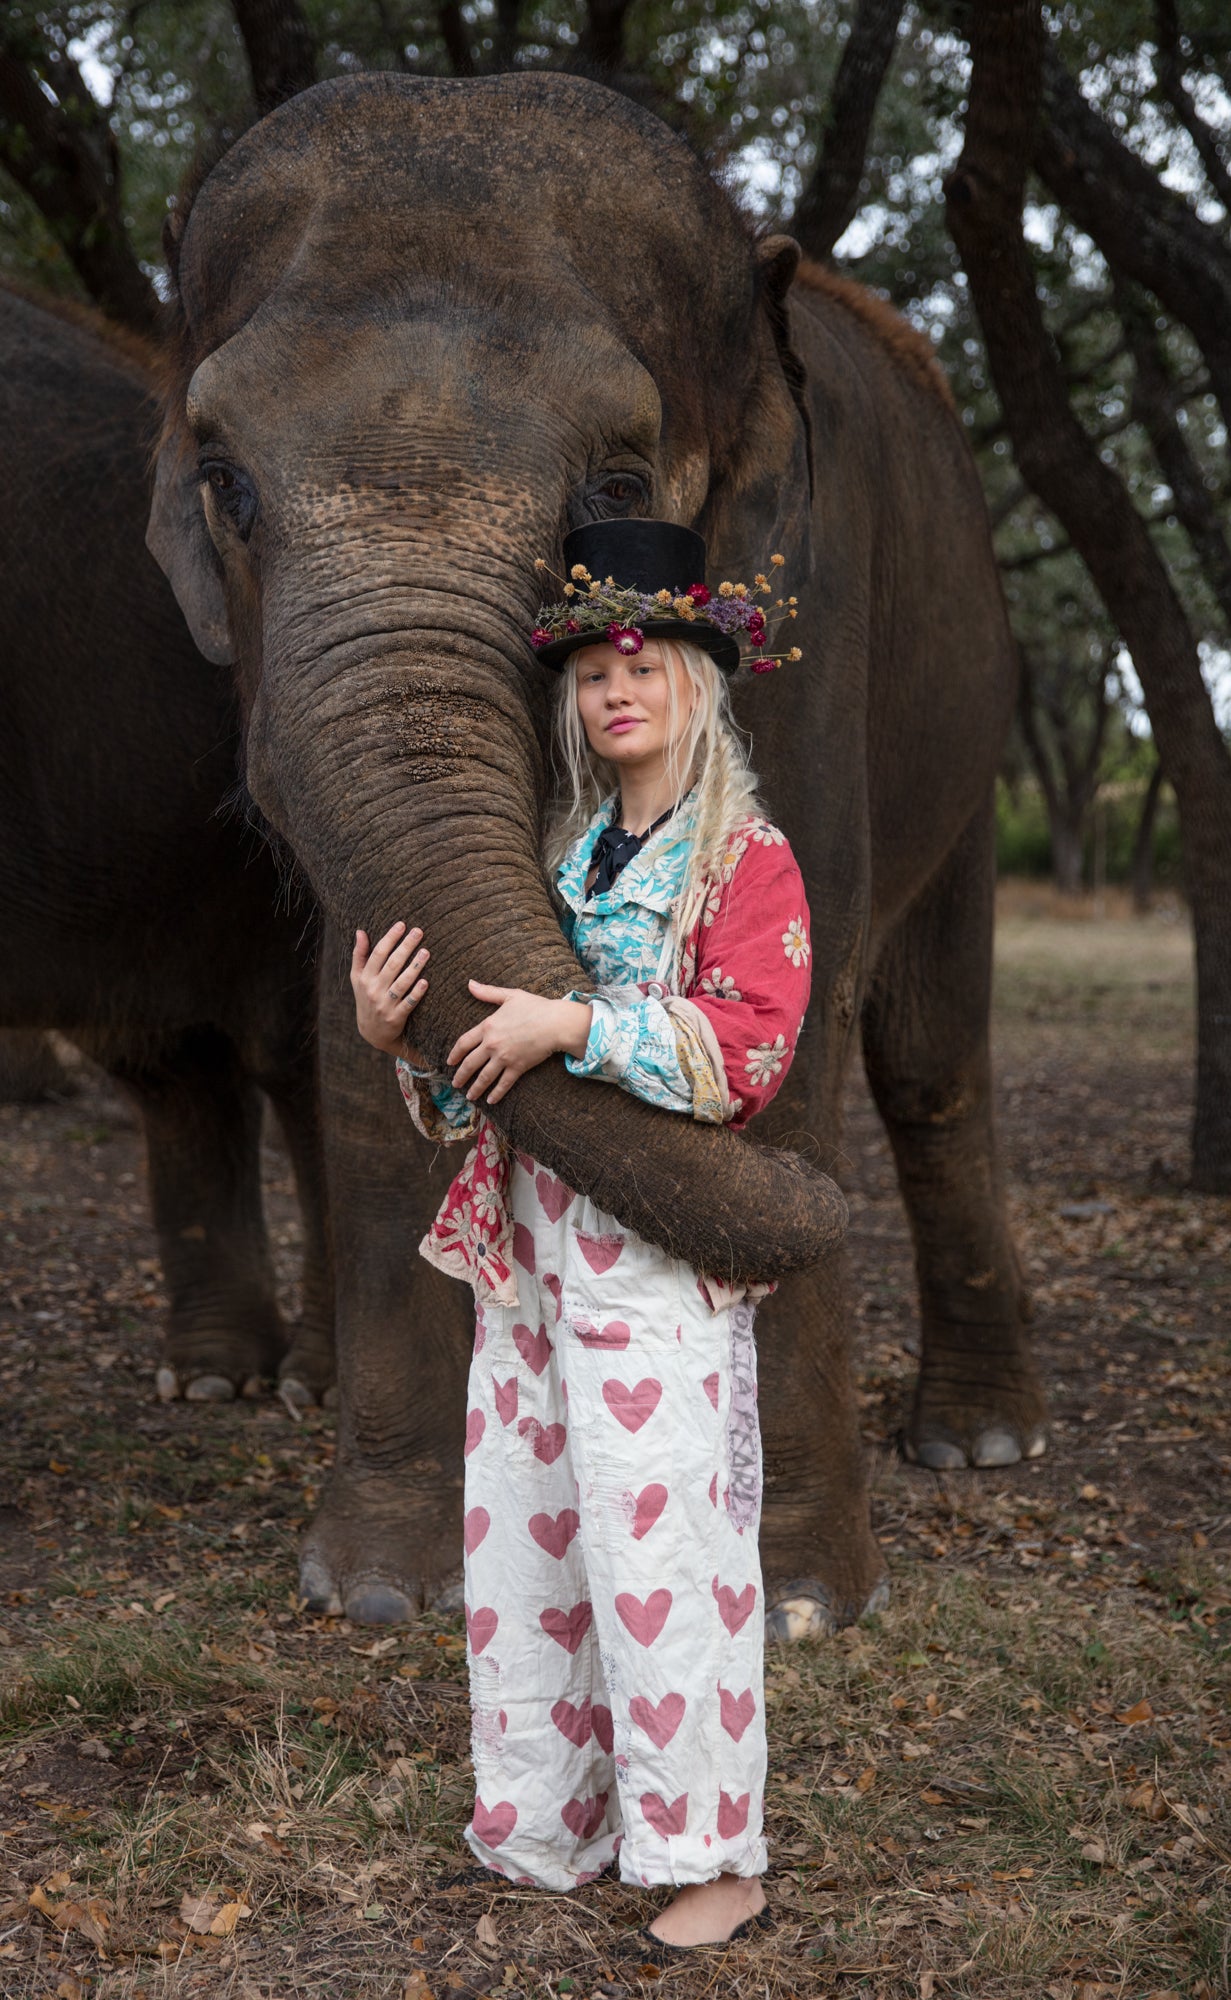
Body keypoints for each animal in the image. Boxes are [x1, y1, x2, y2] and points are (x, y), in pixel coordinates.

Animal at [148, 70, 1046, 1634]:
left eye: (618, 482)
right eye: (224, 480)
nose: (821, 1224)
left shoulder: (807, 603)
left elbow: (789, 1030)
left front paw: (798, 1599)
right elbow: (352, 1049)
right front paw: (374, 1588)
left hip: (972, 709)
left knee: (928, 1060)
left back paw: (978, 1439)